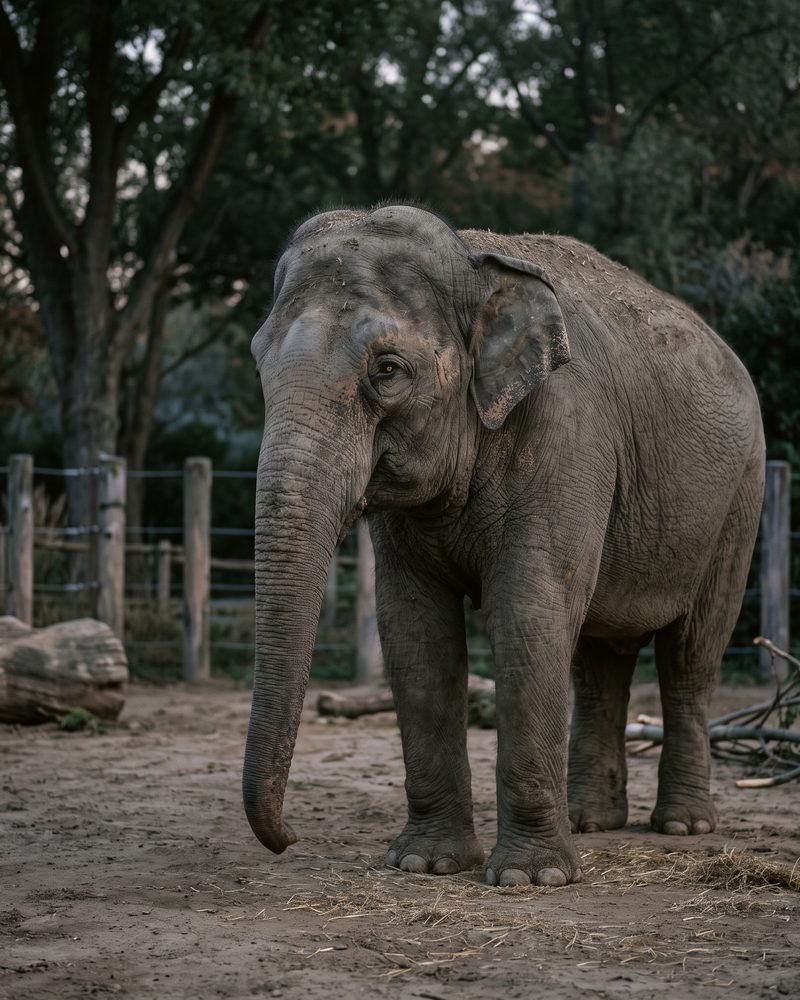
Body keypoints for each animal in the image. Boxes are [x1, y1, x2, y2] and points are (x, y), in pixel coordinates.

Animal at [243, 203, 765, 888]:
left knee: (691, 653)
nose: (289, 838)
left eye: (387, 370)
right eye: (259, 364)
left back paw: (682, 827)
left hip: (740, 499)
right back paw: (592, 821)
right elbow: (414, 629)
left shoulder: (567, 434)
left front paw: (529, 878)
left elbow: (528, 613)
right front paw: (425, 863)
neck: (473, 264)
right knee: (598, 657)